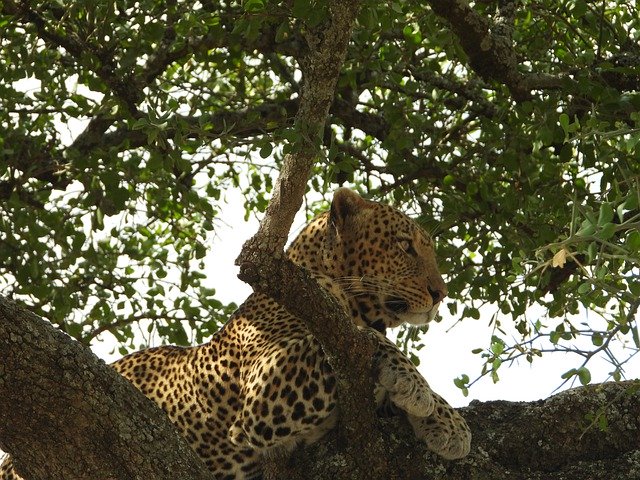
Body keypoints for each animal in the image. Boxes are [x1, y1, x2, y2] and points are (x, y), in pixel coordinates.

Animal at [0, 188, 470, 480]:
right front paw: (418, 388)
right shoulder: (265, 393)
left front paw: (446, 422)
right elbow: (370, 340)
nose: (441, 293)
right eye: (405, 245)